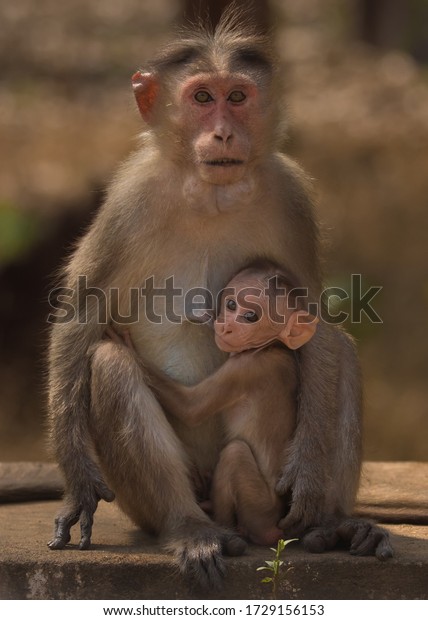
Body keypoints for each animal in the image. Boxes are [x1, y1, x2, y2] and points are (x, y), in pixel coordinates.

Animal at [127, 262, 318, 548]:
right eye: (230, 305)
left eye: (250, 316)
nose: (227, 326)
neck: (270, 346)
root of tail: (275, 528)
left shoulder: (245, 369)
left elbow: (191, 407)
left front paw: (121, 341)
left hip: (259, 508)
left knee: (234, 454)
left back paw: (224, 523)